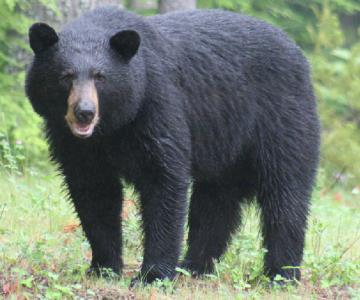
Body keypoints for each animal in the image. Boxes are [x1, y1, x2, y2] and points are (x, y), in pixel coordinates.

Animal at [25, 6, 320, 284]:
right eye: (66, 76)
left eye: (100, 77)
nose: (84, 112)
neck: (111, 128)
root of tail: (298, 51)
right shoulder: (75, 143)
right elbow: (94, 193)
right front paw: (103, 267)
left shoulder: (156, 103)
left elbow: (163, 180)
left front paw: (152, 275)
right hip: (224, 146)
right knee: (215, 203)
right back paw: (195, 266)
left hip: (281, 120)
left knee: (284, 195)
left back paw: (281, 275)